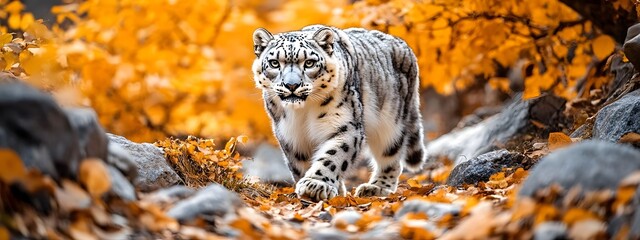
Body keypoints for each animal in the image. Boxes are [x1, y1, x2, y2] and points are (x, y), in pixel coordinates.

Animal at [252, 24, 428, 202]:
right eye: (274, 63)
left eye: (309, 63)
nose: (291, 85)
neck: (302, 113)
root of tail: (403, 44)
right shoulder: (290, 134)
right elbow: (300, 162)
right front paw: (332, 189)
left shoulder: (346, 125)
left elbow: (333, 156)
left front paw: (315, 184)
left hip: (392, 122)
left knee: (391, 156)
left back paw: (377, 187)